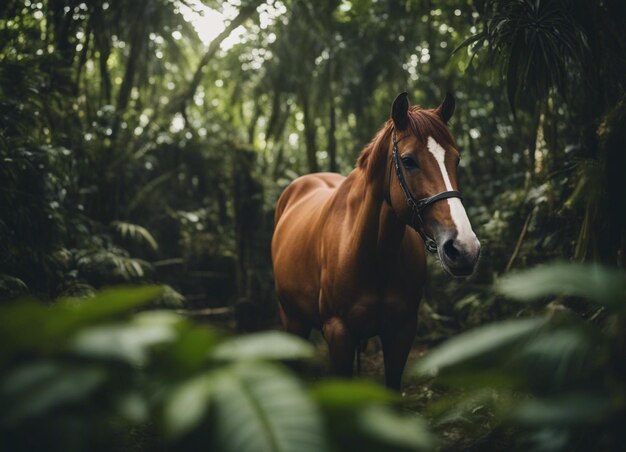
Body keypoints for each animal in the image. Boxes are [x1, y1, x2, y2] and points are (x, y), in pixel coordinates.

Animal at [270, 92, 480, 388]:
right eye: (408, 160)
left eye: (456, 159)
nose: (464, 249)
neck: (374, 254)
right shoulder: (338, 333)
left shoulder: (402, 331)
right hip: (292, 319)